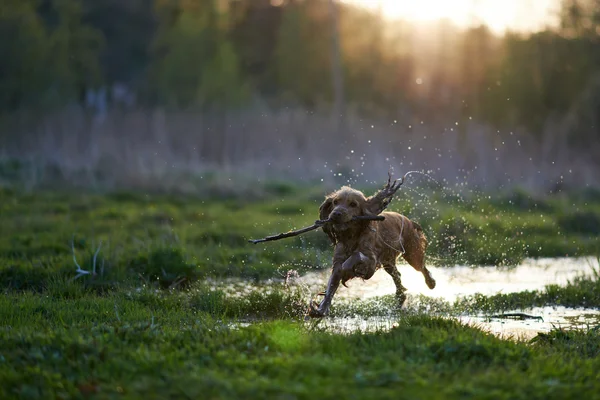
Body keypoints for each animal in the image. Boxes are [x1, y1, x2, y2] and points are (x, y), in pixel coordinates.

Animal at [310, 184, 436, 318]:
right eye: (335, 202)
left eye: (353, 204)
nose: (335, 214)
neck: (351, 236)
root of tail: (409, 220)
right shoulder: (337, 261)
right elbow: (331, 286)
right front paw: (321, 309)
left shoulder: (371, 260)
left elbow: (356, 256)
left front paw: (347, 269)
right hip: (388, 263)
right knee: (397, 276)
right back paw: (400, 297)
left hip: (412, 254)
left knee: (422, 267)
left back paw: (431, 283)